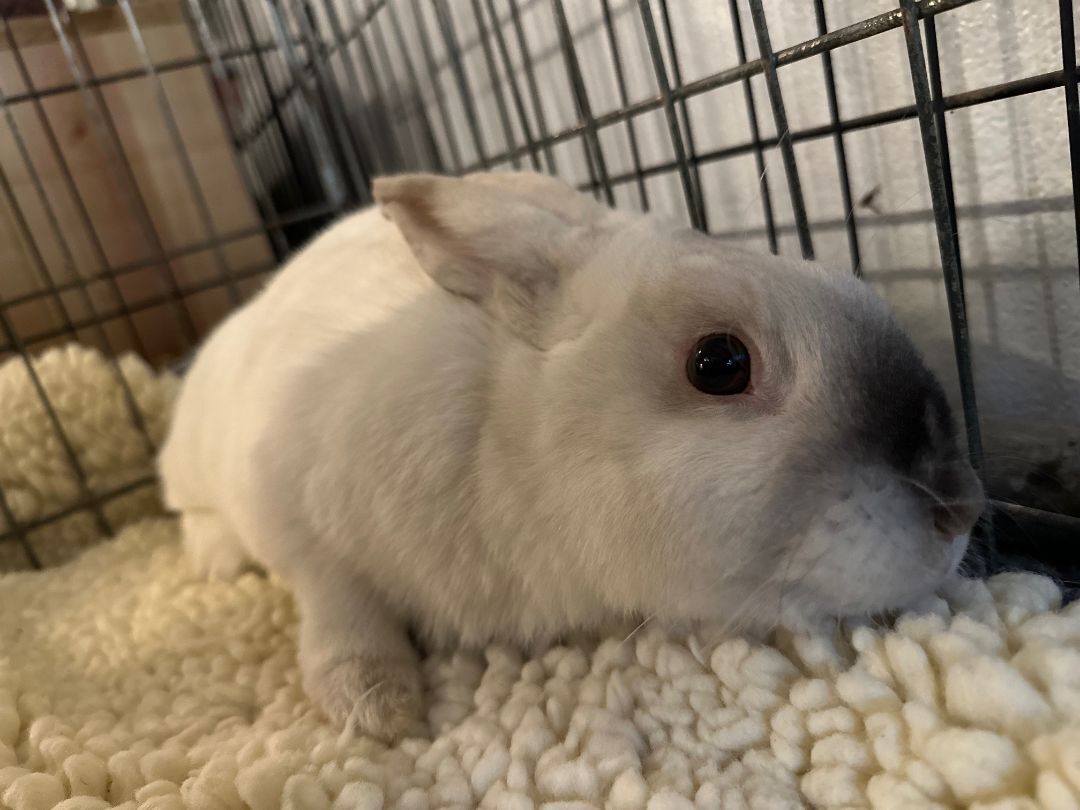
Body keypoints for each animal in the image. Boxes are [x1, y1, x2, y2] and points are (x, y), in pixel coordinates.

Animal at [158, 170, 985, 740]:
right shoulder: (300, 525)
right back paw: (215, 562)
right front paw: (379, 707)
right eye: (719, 363)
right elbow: (341, 609)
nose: (963, 507)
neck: (510, 438)